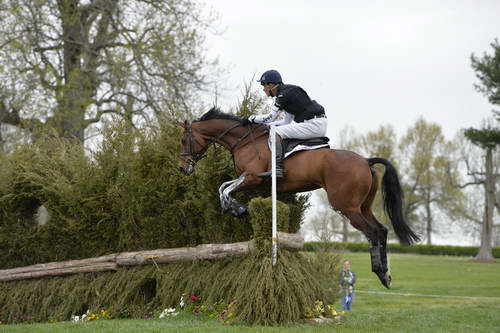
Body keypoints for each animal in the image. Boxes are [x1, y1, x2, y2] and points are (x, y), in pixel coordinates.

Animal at [178, 107, 420, 288]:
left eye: (183, 141)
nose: (182, 168)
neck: (244, 141)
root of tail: (365, 160)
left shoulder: (252, 178)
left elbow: (226, 189)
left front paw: (237, 208)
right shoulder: (248, 179)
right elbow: (222, 187)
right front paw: (234, 208)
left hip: (346, 207)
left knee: (372, 233)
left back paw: (380, 272)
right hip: (363, 207)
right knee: (381, 230)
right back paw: (386, 276)